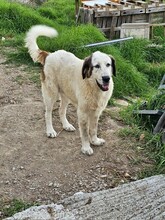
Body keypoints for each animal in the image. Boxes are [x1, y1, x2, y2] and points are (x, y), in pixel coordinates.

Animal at [25, 24, 116, 156]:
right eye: (96, 66)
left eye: (108, 64)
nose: (106, 78)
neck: (93, 87)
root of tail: (49, 55)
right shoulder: (82, 113)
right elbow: (85, 133)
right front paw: (86, 147)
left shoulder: (96, 112)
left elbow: (93, 129)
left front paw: (95, 141)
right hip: (51, 94)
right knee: (48, 113)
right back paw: (50, 131)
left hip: (66, 94)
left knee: (61, 111)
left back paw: (66, 125)